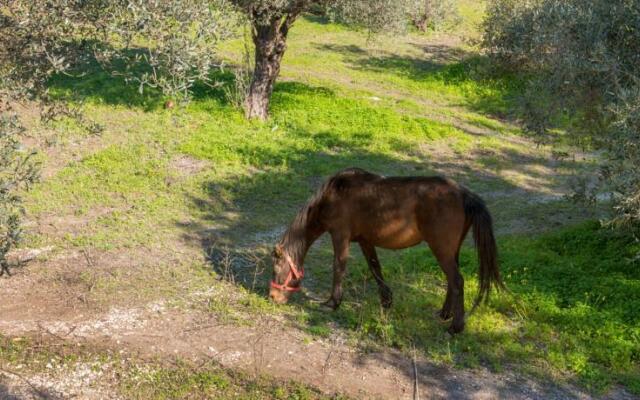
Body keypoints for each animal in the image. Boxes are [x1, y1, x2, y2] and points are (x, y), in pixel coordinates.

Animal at [268, 167, 502, 332]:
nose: (272, 297)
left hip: (441, 249)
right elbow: (375, 268)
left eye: (276, 268)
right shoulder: (365, 241)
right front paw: (386, 300)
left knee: (457, 281)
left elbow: (339, 267)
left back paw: (456, 326)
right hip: (451, 251)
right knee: (452, 282)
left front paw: (332, 303)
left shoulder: (340, 236)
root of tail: (463, 193)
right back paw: (445, 314)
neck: (333, 195)